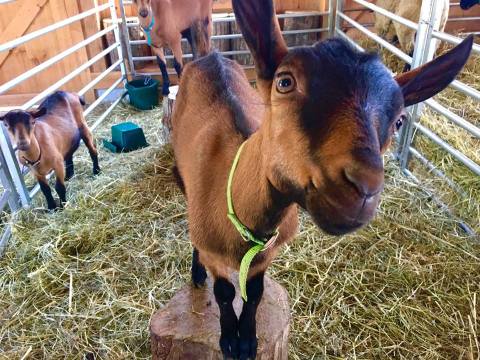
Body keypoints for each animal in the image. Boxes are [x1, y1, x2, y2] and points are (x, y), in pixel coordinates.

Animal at [170, 0, 472, 358]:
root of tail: (208, 56)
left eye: (399, 121)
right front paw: (230, 340)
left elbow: (254, 293)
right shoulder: (214, 251)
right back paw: (196, 272)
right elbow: (225, 293)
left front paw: (249, 339)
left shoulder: (266, 254)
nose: (363, 188)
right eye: (284, 82)